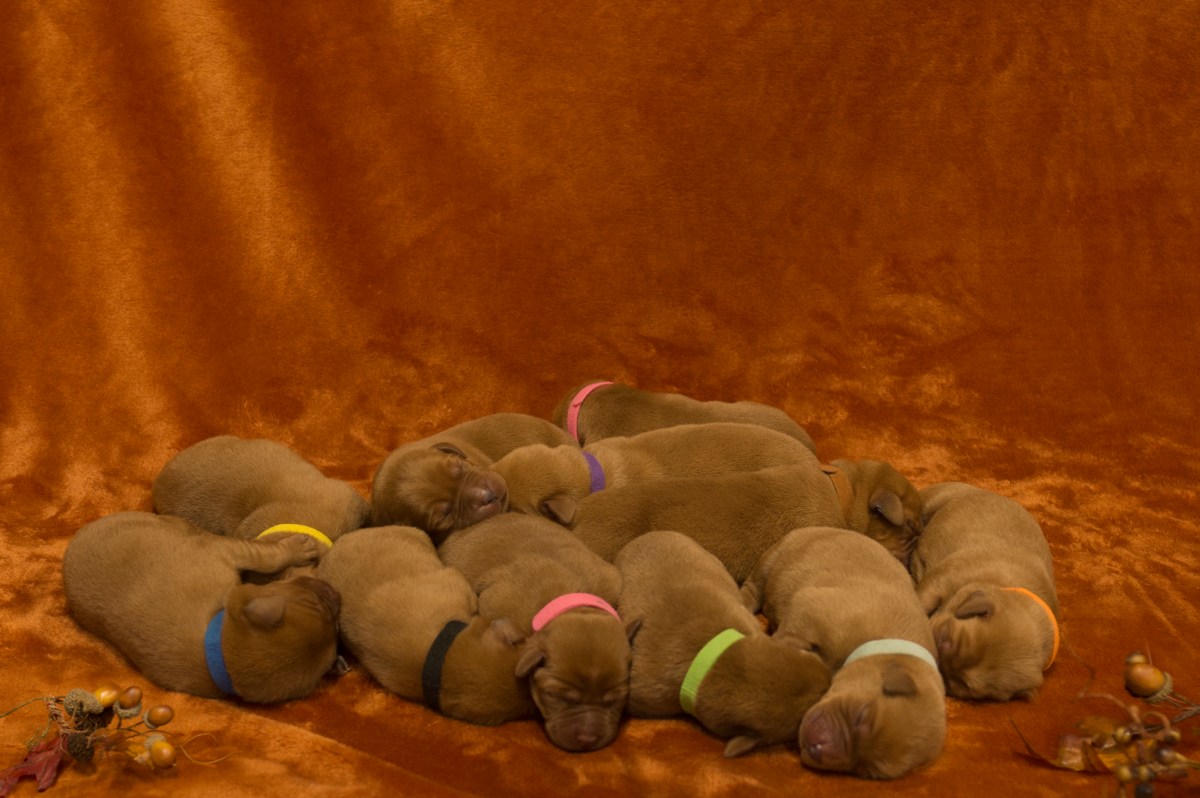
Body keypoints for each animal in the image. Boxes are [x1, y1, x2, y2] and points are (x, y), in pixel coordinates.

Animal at [741, 526, 945, 779]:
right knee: (754, 587)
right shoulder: (809, 608)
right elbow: (789, 635)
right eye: (861, 716)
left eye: (864, 771)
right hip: (774, 557)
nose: (816, 749)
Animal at [911, 482, 1060, 701]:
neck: (997, 584)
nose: (940, 666)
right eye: (945, 638)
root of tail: (985, 491)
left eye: (963, 685)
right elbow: (921, 600)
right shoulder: (940, 580)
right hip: (935, 499)